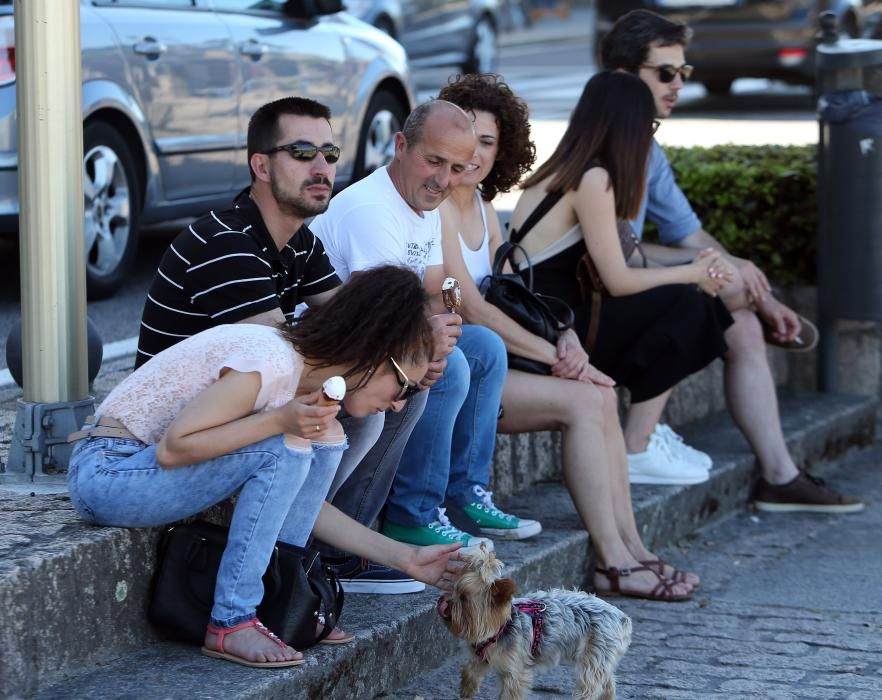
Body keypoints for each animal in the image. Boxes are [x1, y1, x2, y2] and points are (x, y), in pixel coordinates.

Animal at [436, 548, 628, 700]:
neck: (501, 628)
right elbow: (470, 669)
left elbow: (510, 693)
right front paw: (466, 689)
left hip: (595, 653)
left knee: (590, 685)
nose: (441, 601)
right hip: (601, 657)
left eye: (464, 599)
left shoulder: (515, 671)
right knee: (607, 683)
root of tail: (621, 618)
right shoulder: (483, 656)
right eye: (452, 590)